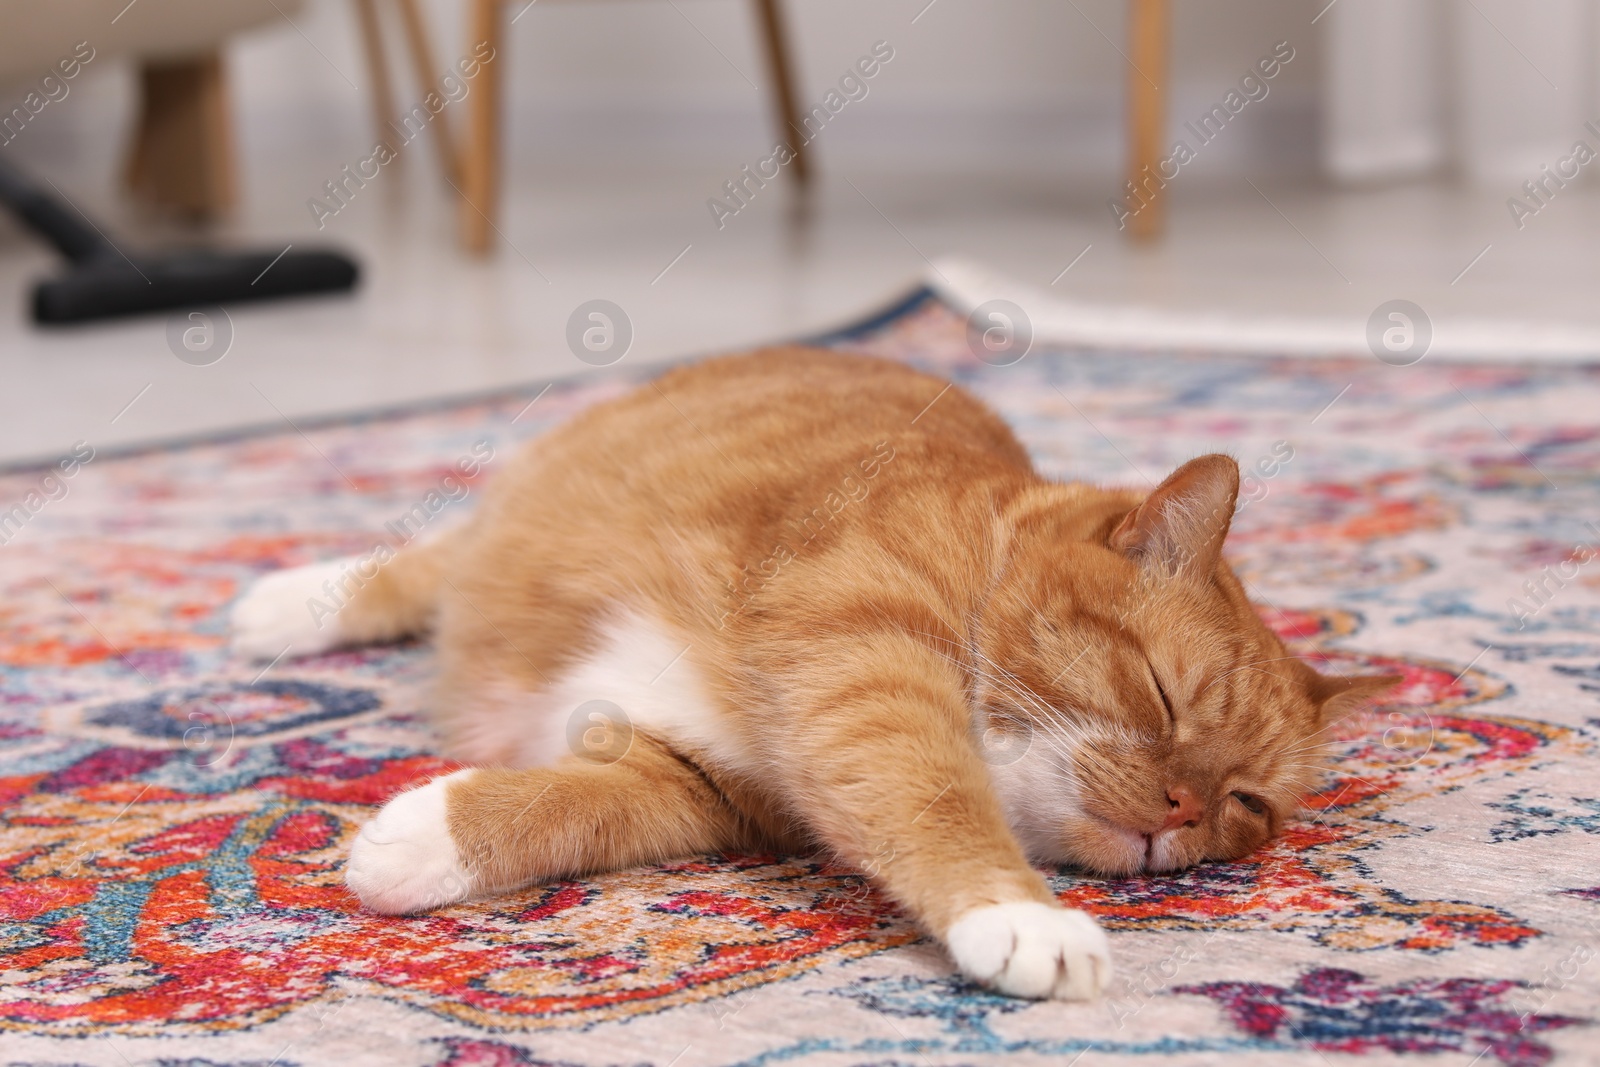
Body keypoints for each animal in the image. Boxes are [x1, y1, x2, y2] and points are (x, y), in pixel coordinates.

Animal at [232, 348, 1395, 1004]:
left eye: (1243, 804)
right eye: (1160, 692)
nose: (1180, 807)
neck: (975, 547)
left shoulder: (691, 782)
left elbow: (570, 812)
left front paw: (425, 843)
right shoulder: (864, 662)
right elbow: (938, 796)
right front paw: (1025, 916)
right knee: (430, 562)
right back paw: (287, 604)